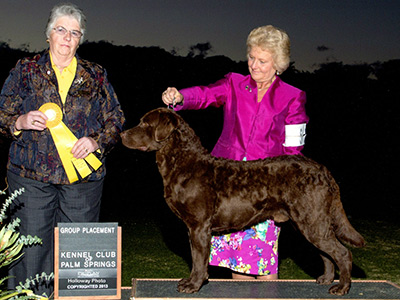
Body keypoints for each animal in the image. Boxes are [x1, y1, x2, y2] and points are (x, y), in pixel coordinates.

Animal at [121, 107, 366, 296]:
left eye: (145, 123)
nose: (122, 134)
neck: (182, 162)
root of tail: (323, 171)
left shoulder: (199, 227)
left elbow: (198, 260)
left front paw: (194, 285)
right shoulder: (193, 228)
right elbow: (194, 258)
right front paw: (190, 281)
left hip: (312, 221)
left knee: (342, 253)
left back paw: (342, 287)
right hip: (309, 223)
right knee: (326, 253)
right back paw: (326, 279)